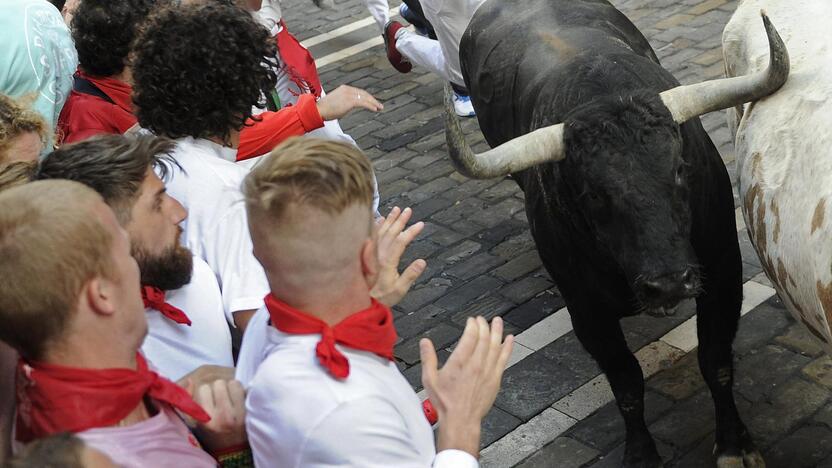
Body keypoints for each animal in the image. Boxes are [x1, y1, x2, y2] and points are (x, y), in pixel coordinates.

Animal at [446, 0, 784, 468]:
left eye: (680, 169)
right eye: (592, 193)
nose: (668, 284)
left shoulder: (722, 274)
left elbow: (715, 361)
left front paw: (735, 444)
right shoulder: (588, 314)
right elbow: (626, 385)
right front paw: (641, 453)